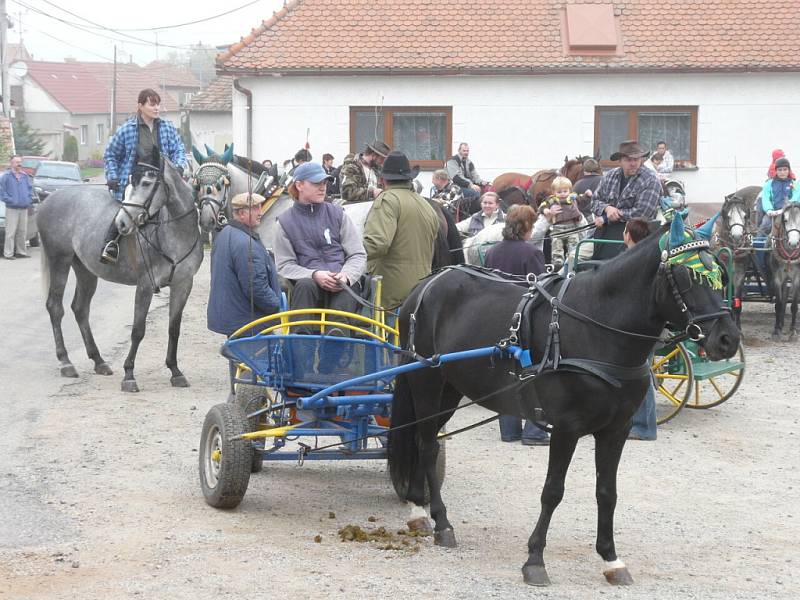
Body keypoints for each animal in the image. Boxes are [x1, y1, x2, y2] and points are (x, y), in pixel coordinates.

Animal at [37, 159, 206, 392]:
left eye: (146, 183)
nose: (122, 223)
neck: (175, 233)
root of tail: (49, 199)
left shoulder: (183, 285)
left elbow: (174, 329)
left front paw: (175, 371)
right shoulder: (145, 285)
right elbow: (138, 330)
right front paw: (129, 375)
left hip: (85, 270)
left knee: (80, 309)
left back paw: (98, 361)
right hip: (59, 262)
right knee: (55, 307)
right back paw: (66, 362)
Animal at [388, 219, 736, 584]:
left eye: (719, 273)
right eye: (686, 274)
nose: (728, 338)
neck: (599, 327)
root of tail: (426, 283)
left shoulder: (616, 429)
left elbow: (607, 492)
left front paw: (611, 558)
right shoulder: (566, 428)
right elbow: (553, 490)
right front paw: (535, 559)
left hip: (451, 389)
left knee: (421, 439)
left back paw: (418, 508)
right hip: (426, 383)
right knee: (427, 444)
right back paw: (440, 521)